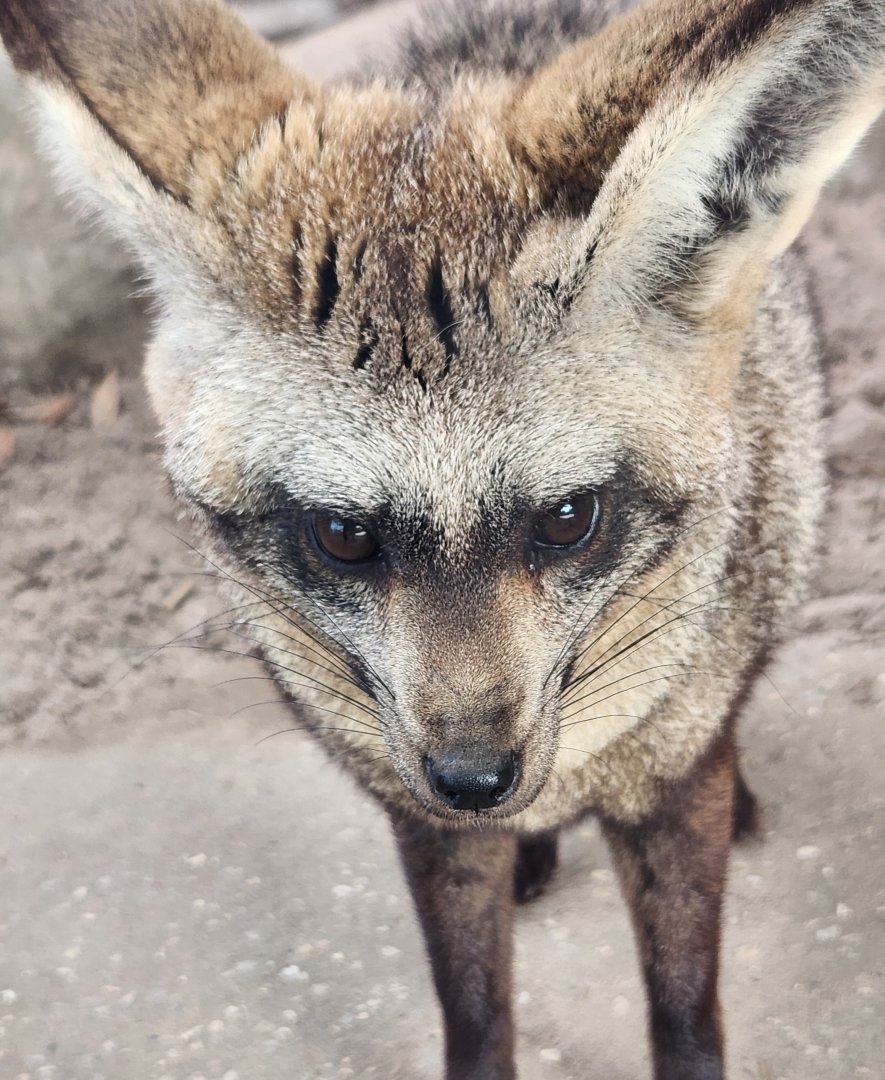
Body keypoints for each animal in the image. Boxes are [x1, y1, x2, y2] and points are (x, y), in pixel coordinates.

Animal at [2, 0, 883, 1076]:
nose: (473, 779)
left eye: (567, 520)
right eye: (343, 534)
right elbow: (471, 1007)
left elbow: (684, 1010)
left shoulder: (668, 794)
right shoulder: (423, 825)